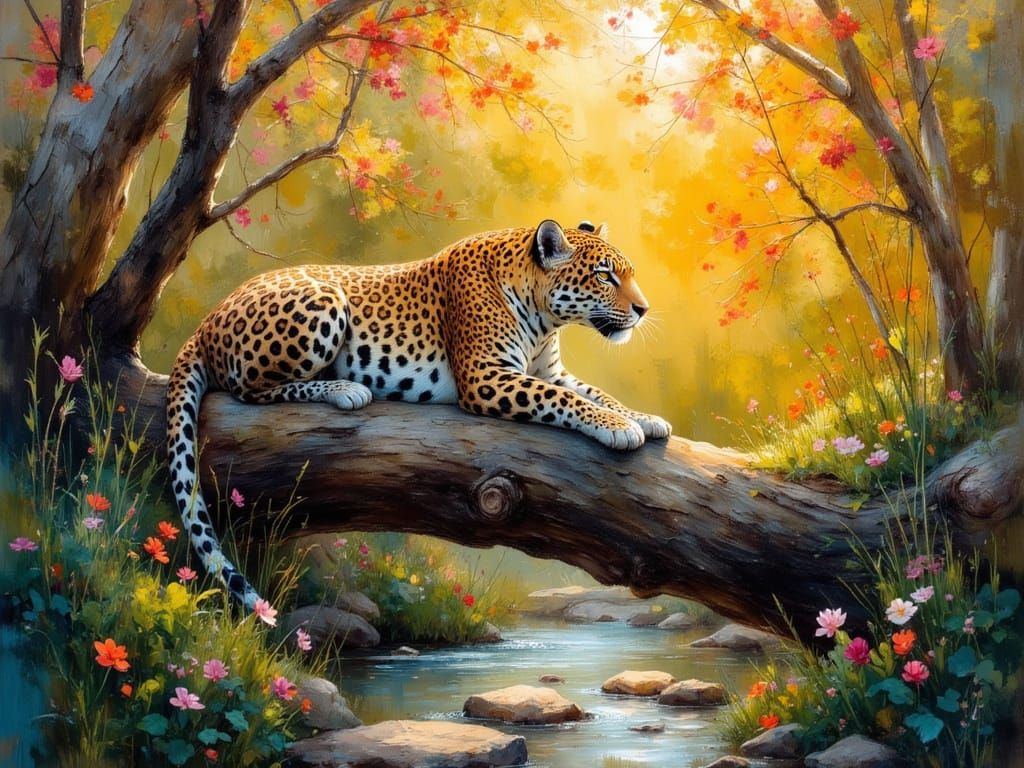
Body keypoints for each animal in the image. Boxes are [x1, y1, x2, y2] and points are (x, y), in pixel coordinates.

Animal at [166, 219, 672, 609]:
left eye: (627, 274)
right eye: (605, 277)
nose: (644, 309)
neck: (544, 317)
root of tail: (208, 318)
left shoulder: (552, 372)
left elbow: (593, 392)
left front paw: (644, 417)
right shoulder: (488, 378)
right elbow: (568, 401)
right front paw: (620, 428)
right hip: (323, 304)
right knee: (247, 389)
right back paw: (345, 389)